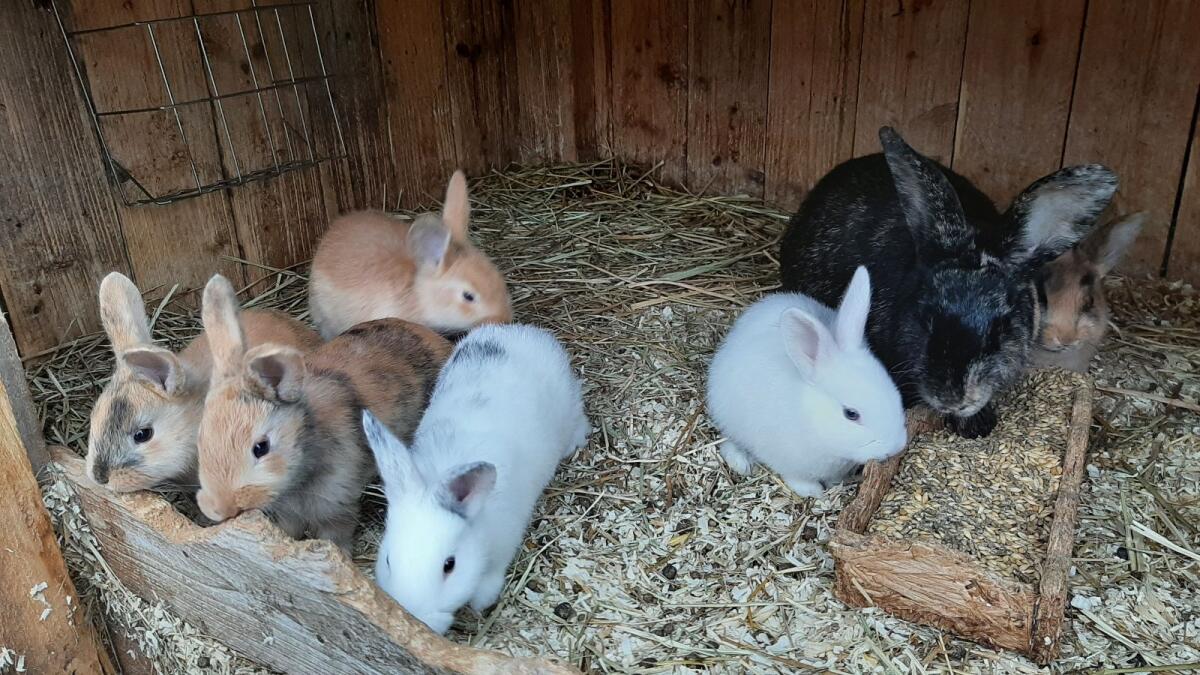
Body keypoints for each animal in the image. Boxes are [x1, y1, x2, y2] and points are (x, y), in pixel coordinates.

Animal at [194, 274, 452, 550]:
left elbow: (335, 539)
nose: (220, 509)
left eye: (261, 448)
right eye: (202, 439)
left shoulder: (336, 506)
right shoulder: (289, 514)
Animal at [363, 323, 588, 634]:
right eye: (388, 560)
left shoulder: (504, 545)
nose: (418, 619)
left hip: (570, 406)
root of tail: (521, 332)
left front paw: (482, 603)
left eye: (450, 565)